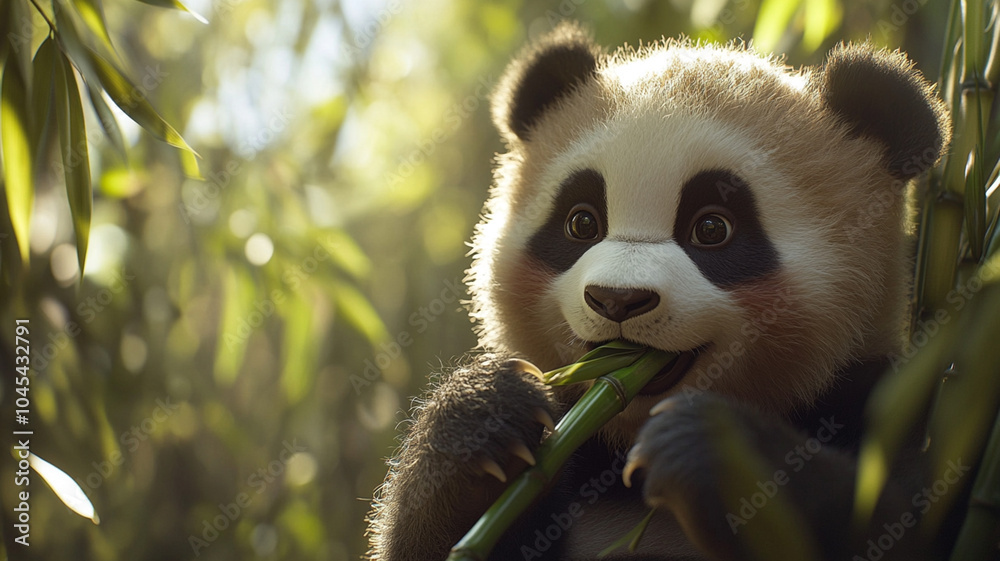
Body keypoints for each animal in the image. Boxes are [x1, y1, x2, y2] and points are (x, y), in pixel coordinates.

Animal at [367, 22, 952, 561]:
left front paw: (713, 451)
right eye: (582, 222)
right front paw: (482, 414)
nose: (617, 300)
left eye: (712, 228)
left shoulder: (885, 398)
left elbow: (897, 520)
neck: (624, 450)